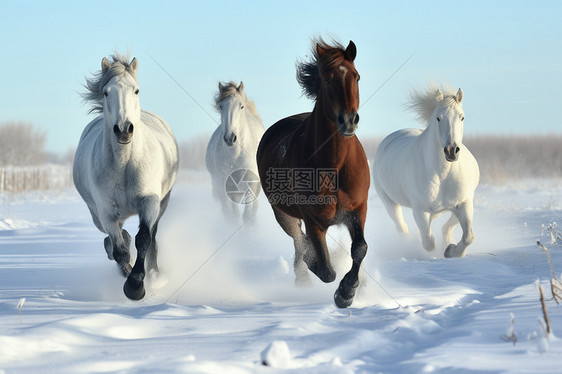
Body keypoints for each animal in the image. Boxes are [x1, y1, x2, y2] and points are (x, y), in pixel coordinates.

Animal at [72, 54, 177, 300]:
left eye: (136, 90)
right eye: (106, 92)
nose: (123, 129)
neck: (125, 165)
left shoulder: (149, 203)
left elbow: (144, 240)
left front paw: (137, 284)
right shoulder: (106, 213)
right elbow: (120, 252)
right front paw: (131, 282)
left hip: (162, 203)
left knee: (152, 239)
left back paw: (156, 275)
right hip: (97, 216)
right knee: (114, 241)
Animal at [206, 81, 264, 222]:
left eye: (241, 106)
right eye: (221, 106)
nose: (230, 138)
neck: (235, 154)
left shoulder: (251, 182)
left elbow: (247, 214)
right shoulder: (223, 184)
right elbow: (230, 214)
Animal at [256, 38, 370, 308]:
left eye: (357, 76)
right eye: (327, 79)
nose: (348, 120)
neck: (334, 167)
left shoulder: (358, 210)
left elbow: (360, 248)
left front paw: (348, 293)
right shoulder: (314, 221)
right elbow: (325, 269)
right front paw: (341, 290)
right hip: (282, 213)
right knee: (298, 241)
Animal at [372, 86, 476, 258]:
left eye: (462, 117)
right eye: (438, 118)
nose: (451, 151)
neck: (443, 176)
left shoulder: (463, 204)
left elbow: (468, 236)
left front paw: (450, 250)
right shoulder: (420, 210)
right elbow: (428, 242)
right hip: (389, 202)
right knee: (402, 228)